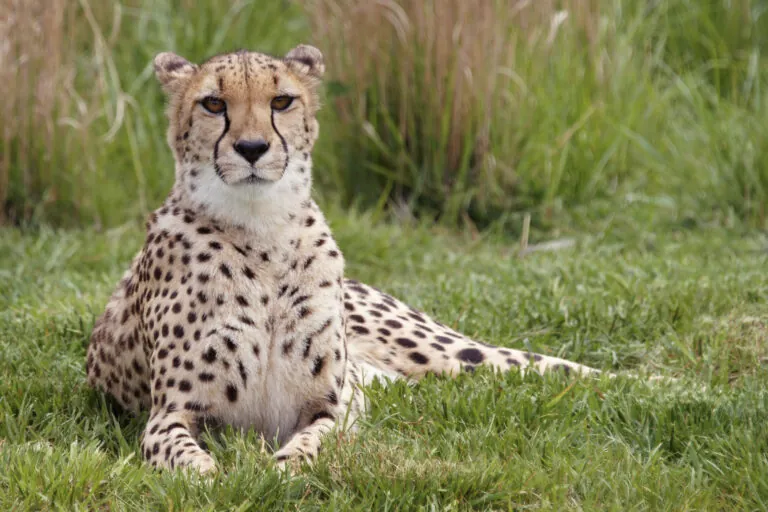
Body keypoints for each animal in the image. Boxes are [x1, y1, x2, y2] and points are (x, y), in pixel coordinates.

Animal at [85, 46, 600, 474]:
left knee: (552, 367)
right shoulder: (169, 413)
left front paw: (284, 470)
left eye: (281, 101)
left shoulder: (334, 405)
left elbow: (314, 442)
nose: (252, 149)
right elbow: (183, 456)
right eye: (213, 104)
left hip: (449, 355)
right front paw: (212, 478)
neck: (262, 229)